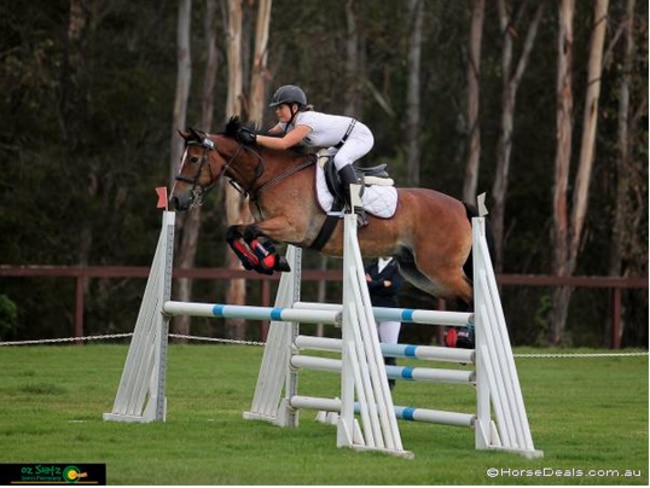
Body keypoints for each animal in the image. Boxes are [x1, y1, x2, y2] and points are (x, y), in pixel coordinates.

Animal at [171, 117, 476, 304]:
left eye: (194, 159)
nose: (175, 200)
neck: (272, 174)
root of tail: (461, 206)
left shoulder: (292, 227)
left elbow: (244, 232)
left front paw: (267, 262)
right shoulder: (276, 228)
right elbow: (239, 233)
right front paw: (268, 262)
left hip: (440, 269)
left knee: (472, 295)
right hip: (419, 272)